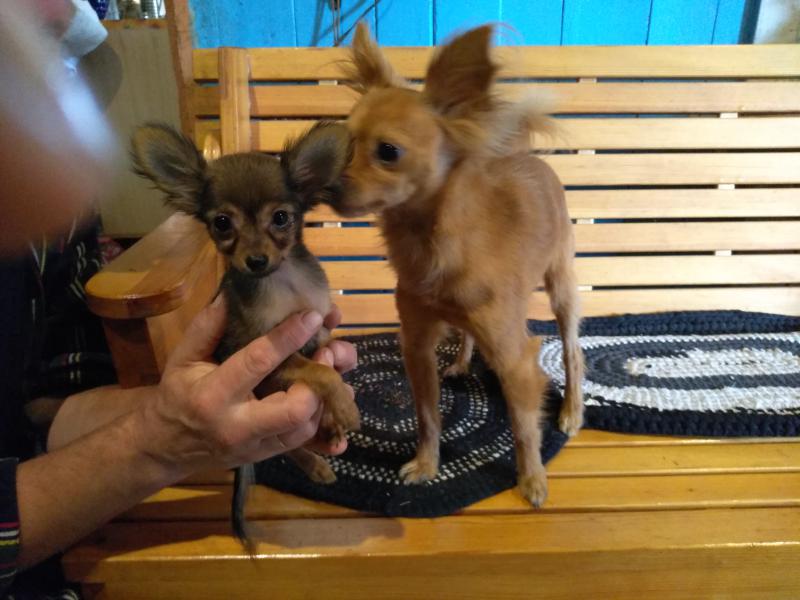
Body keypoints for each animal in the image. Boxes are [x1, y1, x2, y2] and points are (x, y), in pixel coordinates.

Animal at [131, 121, 359, 546]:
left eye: (281, 218)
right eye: (222, 223)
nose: (255, 260)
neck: (283, 282)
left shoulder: (319, 327)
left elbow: (329, 355)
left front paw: (336, 412)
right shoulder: (264, 354)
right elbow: (321, 372)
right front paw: (344, 407)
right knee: (280, 450)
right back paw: (314, 464)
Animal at [330, 23, 584, 506]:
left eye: (387, 151)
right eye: (344, 143)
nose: (324, 183)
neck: (428, 244)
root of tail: (529, 158)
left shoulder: (515, 359)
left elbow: (524, 425)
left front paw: (531, 478)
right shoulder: (416, 346)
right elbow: (428, 416)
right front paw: (428, 465)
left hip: (561, 284)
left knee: (572, 349)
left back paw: (572, 409)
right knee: (468, 334)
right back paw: (464, 362)